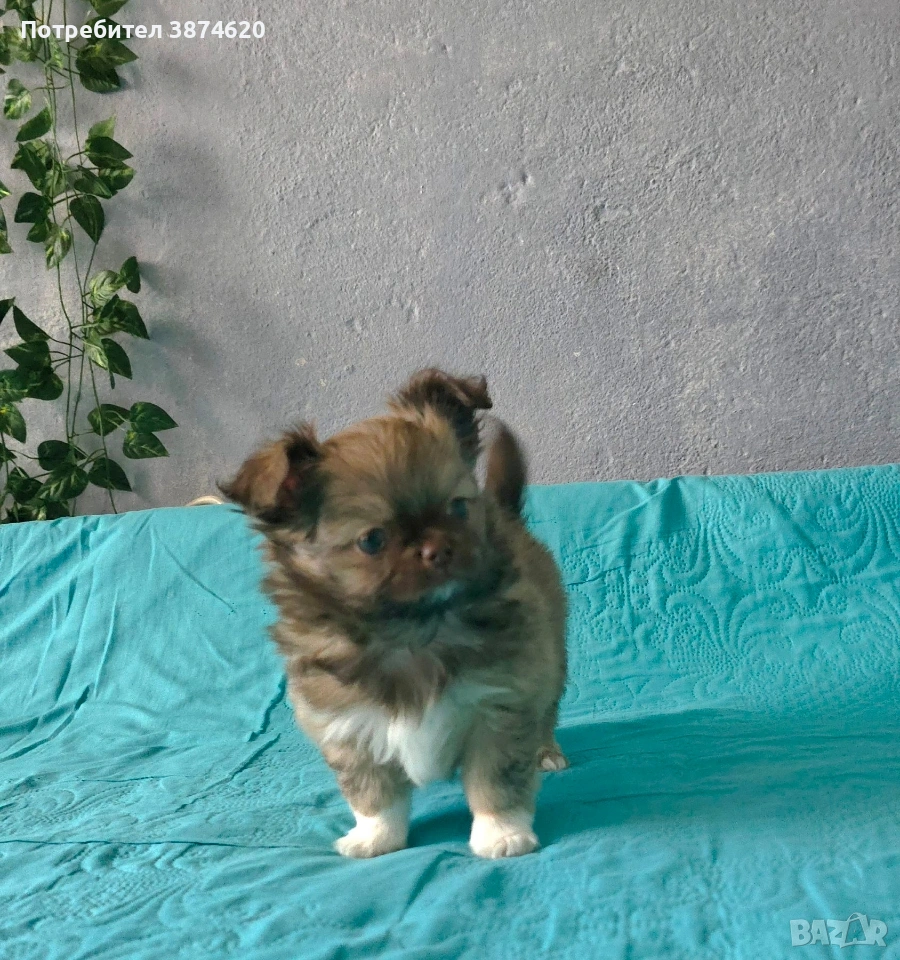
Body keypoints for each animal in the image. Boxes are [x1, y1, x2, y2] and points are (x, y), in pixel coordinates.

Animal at [221, 369, 567, 858]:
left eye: (458, 507)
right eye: (373, 540)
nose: (438, 548)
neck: (413, 631)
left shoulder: (502, 706)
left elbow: (496, 781)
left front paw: (502, 833)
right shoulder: (348, 728)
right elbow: (373, 793)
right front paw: (376, 837)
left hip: (551, 661)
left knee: (548, 712)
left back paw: (547, 751)